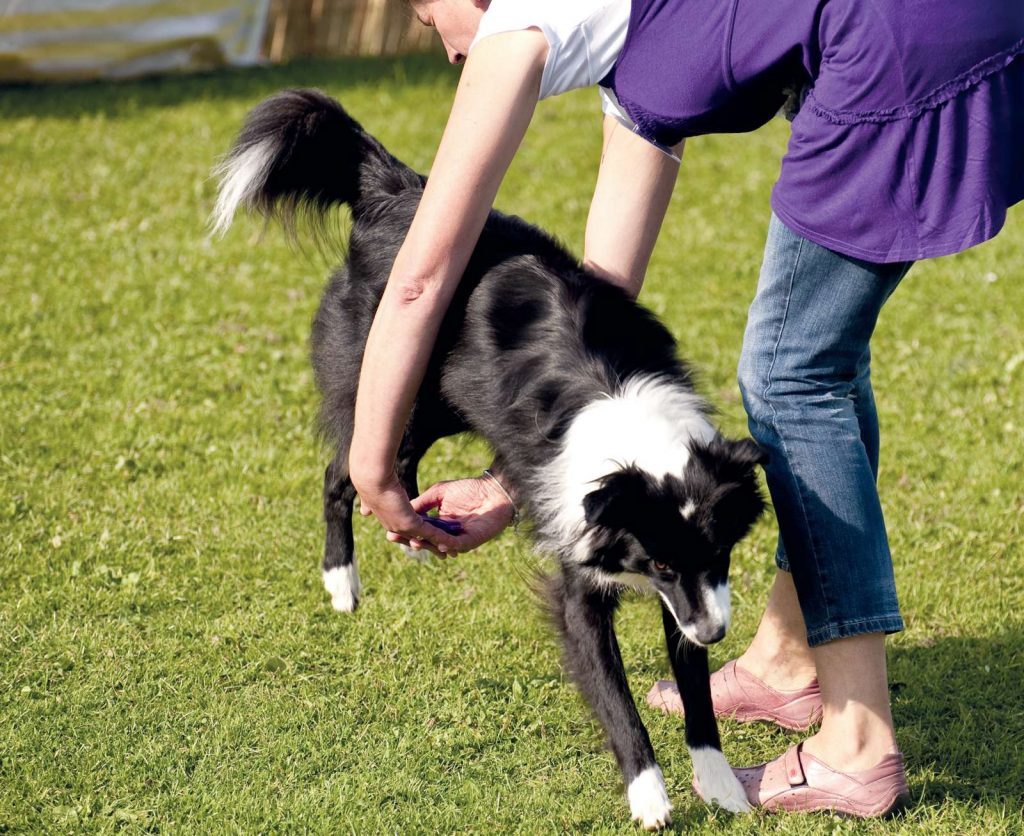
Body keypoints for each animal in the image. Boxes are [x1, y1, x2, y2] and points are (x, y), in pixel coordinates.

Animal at [214, 89, 761, 823]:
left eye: (722, 552)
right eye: (662, 563)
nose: (716, 635)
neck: (630, 426)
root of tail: (397, 189)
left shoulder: (689, 589)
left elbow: (696, 692)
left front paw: (722, 783)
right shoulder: (587, 583)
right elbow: (616, 699)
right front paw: (648, 796)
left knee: (385, 468)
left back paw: (419, 526)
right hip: (396, 382)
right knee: (343, 471)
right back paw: (342, 580)